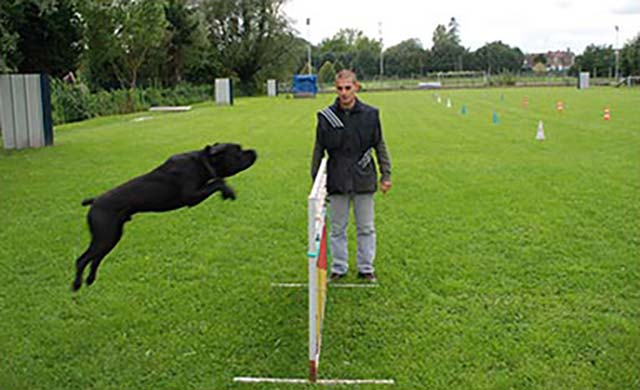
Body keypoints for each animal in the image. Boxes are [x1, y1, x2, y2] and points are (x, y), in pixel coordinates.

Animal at [71, 142, 256, 290]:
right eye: (238, 151)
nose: (254, 151)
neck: (203, 162)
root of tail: (94, 201)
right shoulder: (190, 197)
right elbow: (217, 182)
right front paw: (228, 191)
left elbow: (216, 182)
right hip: (105, 237)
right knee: (82, 259)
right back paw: (77, 284)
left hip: (111, 238)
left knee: (95, 259)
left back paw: (90, 280)